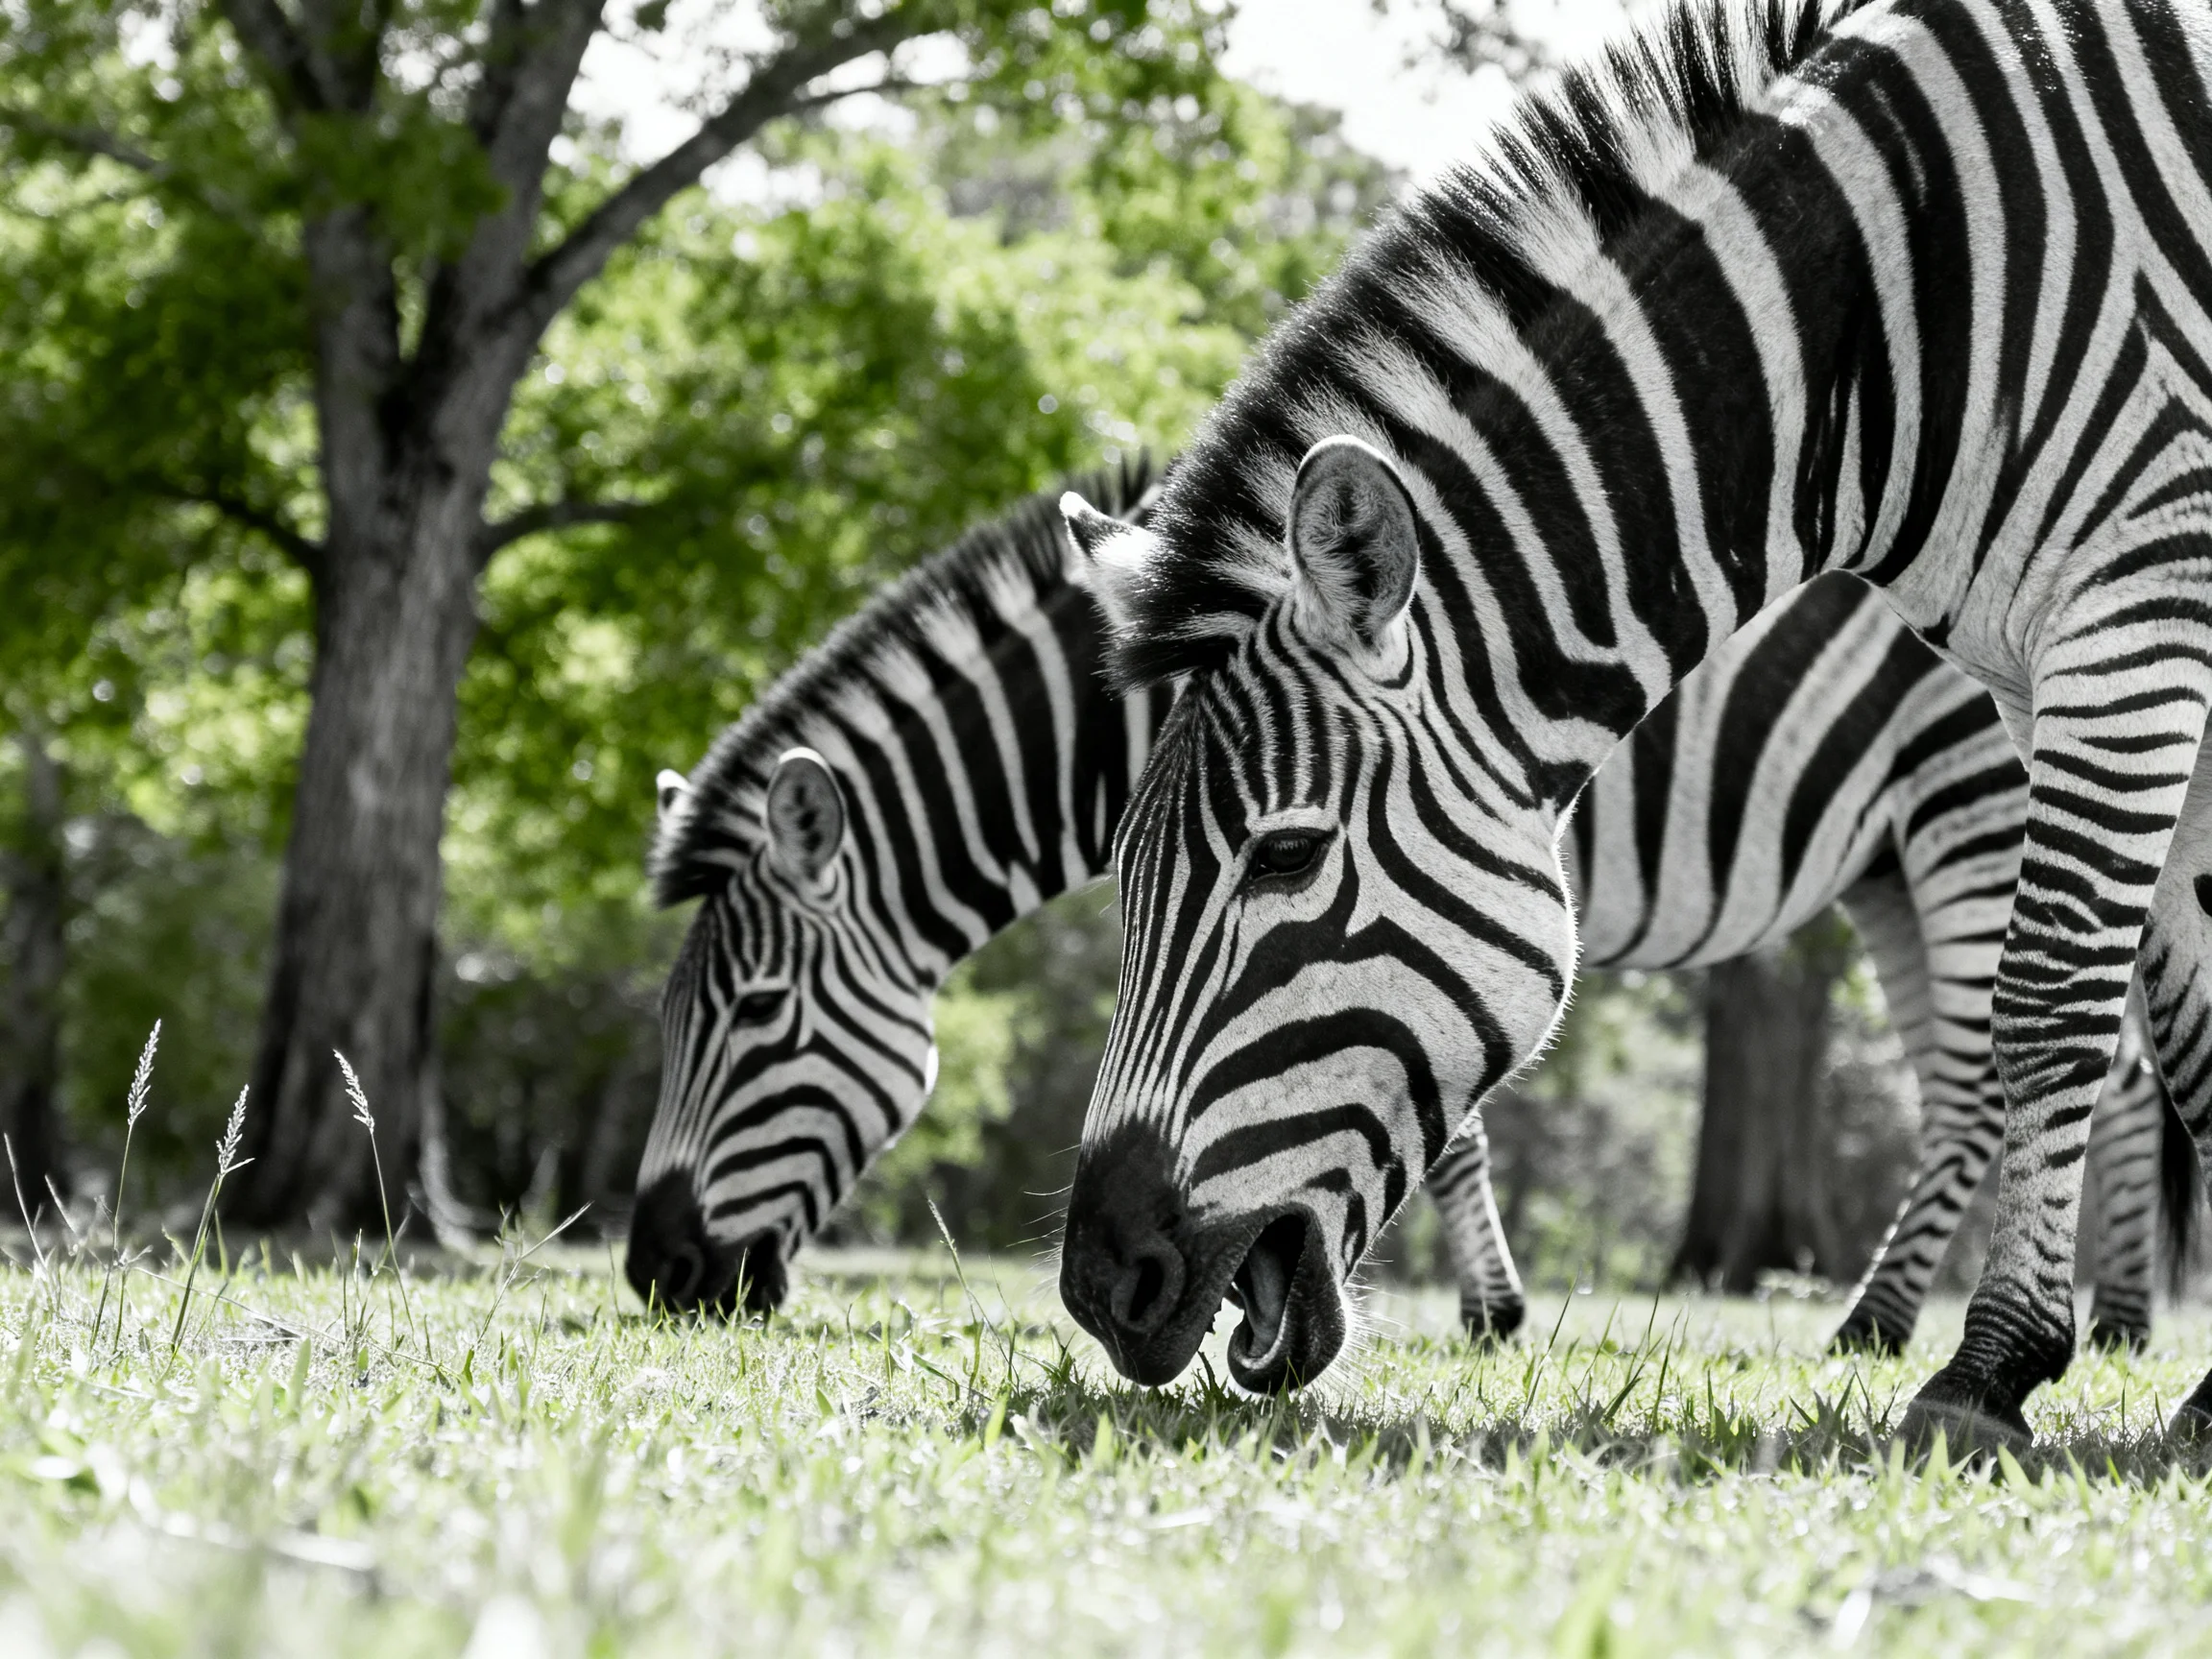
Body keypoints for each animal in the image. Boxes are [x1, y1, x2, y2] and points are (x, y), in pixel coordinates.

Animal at [628, 472, 2175, 1355]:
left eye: (754, 1017)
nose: (657, 1274)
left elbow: (1426, 1103)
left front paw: (1486, 1313)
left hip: (1969, 807)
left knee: (2040, 1065)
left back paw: (1963, 1324)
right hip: (1894, 863)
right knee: (2029, 1075)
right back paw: (2044, 1316)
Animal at [1053, 0, 2212, 1444]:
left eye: (1287, 856)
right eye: (1122, 874)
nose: (1103, 1282)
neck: (1897, 301)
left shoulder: (2135, 605)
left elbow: (2054, 1003)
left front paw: (1992, 1367)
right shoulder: (2061, 655)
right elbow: (2195, 1017)